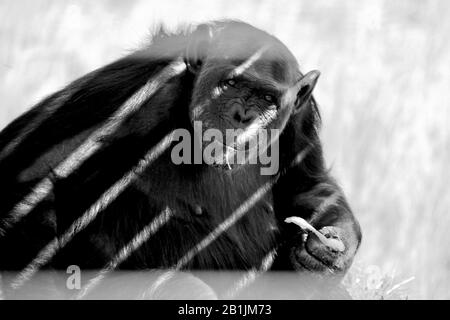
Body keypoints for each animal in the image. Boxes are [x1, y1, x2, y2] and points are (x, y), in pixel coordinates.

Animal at [0, 20, 360, 300]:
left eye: (268, 99)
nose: (242, 115)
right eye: (230, 82)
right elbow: (33, 174)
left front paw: (328, 250)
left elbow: (308, 183)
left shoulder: (300, 118)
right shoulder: (138, 88)